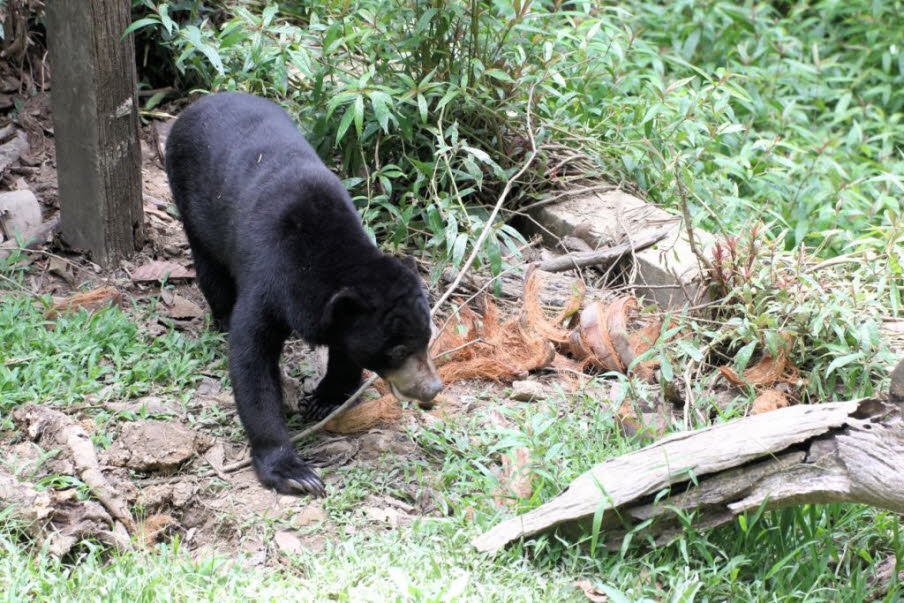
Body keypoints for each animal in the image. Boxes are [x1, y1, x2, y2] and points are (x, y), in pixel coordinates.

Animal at [166, 93, 444, 496]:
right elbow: (251, 361)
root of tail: (199, 103)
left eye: (427, 339)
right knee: (209, 267)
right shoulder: (268, 280)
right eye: (397, 350)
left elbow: (345, 350)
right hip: (188, 198)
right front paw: (294, 472)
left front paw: (323, 400)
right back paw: (220, 318)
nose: (432, 389)